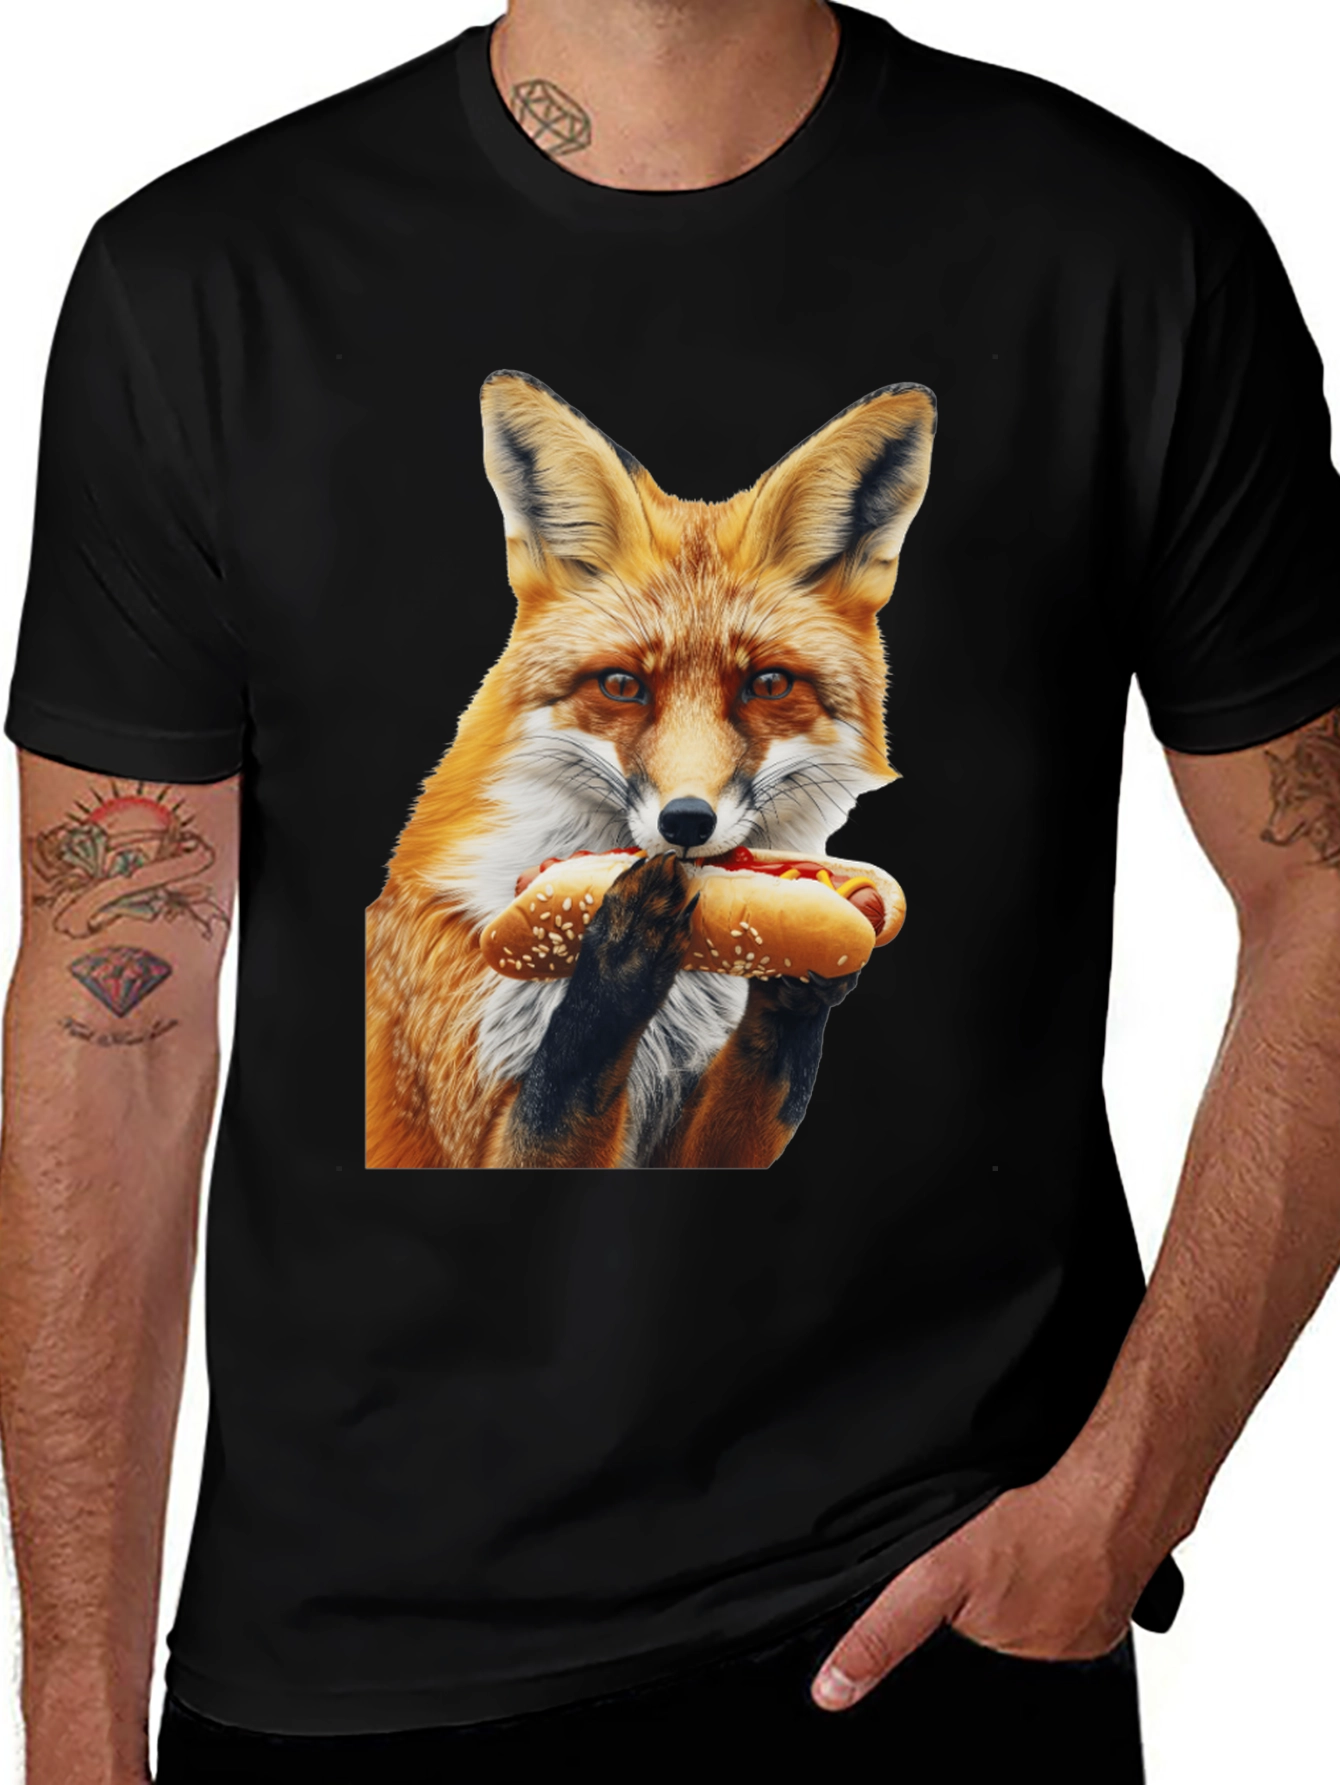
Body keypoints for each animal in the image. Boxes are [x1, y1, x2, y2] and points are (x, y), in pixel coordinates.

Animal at [366, 371, 935, 1168]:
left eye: (767, 685)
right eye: (622, 686)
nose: (686, 822)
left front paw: (803, 981)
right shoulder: (469, 1123)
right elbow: (566, 1077)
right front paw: (621, 948)